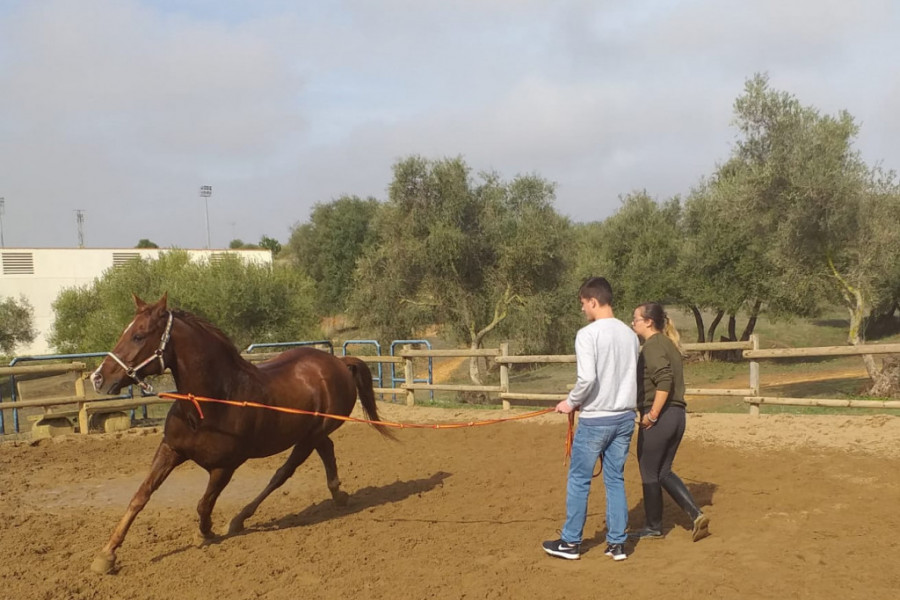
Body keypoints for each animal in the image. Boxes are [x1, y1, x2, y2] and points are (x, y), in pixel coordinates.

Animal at [89, 292, 394, 576]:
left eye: (139, 336)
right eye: (125, 332)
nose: (98, 378)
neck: (212, 402)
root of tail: (339, 362)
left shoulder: (225, 467)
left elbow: (203, 505)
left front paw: (206, 533)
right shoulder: (170, 449)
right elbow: (141, 496)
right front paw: (106, 555)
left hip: (308, 438)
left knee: (282, 473)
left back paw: (239, 518)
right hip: (312, 434)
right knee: (326, 449)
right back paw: (338, 495)